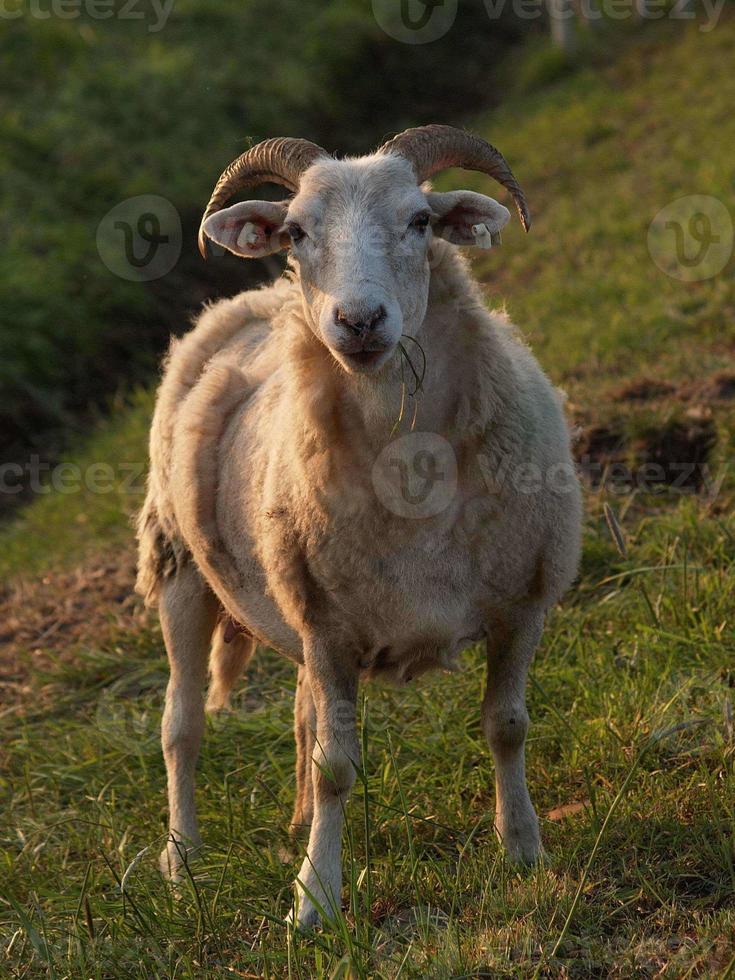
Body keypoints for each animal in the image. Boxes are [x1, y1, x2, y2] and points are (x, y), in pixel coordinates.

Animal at [138, 126, 584, 932]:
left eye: (420, 220)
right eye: (296, 232)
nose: (359, 322)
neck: (410, 471)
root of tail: (251, 297)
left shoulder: (519, 604)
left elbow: (506, 726)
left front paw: (524, 850)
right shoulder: (330, 632)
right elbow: (337, 768)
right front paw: (315, 899)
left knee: (299, 712)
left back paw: (290, 822)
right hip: (182, 570)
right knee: (181, 726)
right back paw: (182, 862)